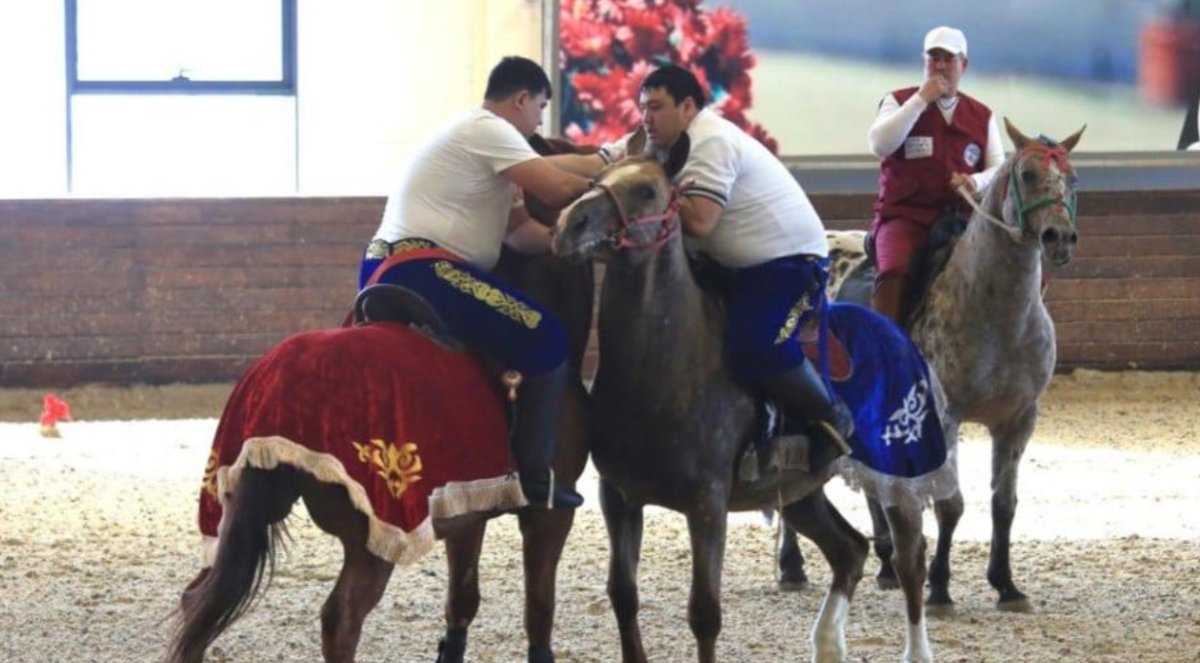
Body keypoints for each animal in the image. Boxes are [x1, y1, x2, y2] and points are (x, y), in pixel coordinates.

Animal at [166, 139, 597, 663]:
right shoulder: (550, 513)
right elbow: (539, 611)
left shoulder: (467, 506)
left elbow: (463, 600)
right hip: (371, 537)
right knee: (341, 617)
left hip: (241, 507)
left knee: (198, 601)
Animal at [549, 130, 955, 663]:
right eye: (597, 178)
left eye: (647, 191)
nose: (568, 224)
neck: (665, 362)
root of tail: (896, 334)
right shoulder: (618, 497)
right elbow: (623, 595)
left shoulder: (707, 504)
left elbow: (704, 613)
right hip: (800, 492)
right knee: (849, 551)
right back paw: (827, 644)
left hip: (899, 473)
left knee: (910, 558)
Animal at [772, 116, 1084, 614]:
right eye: (1028, 174)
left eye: (1073, 179)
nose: (1059, 237)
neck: (997, 312)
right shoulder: (947, 415)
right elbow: (949, 504)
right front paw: (938, 587)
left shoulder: (1018, 420)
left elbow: (1004, 504)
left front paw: (1005, 585)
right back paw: (792, 566)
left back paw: (883, 561)